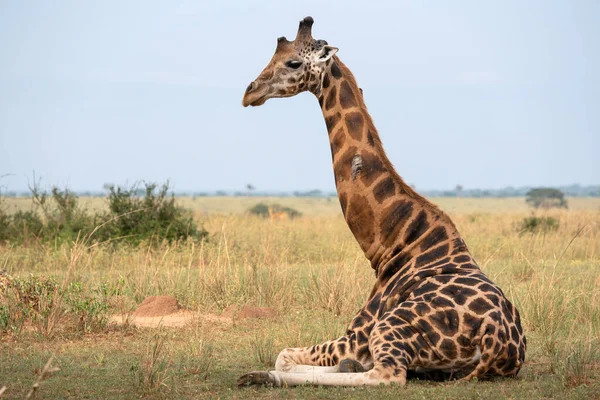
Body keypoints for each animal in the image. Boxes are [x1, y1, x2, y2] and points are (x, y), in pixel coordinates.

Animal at [238, 16, 524, 388]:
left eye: (294, 63)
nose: (250, 92)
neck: (391, 243)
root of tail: (497, 342)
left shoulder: (356, 335)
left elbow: (284, 355)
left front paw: (267, 373)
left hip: (389, 327)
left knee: (387, 375)